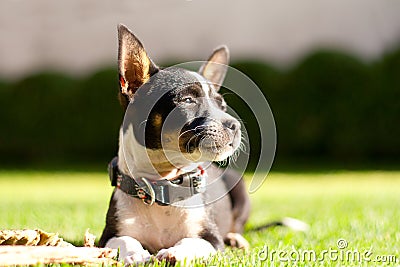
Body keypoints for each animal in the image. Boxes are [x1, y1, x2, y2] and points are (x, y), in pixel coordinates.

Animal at [99, 23, 250, 266]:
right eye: (187, 100)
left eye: (222, 106)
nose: (234, 125)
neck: (163, 185)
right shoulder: (107, 237)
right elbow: (124, 240)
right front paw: (135, 253)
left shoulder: (212, 240)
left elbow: (192, 241)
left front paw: (176, 252)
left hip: (240, 189)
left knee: (237, 225)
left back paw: (236, 239)